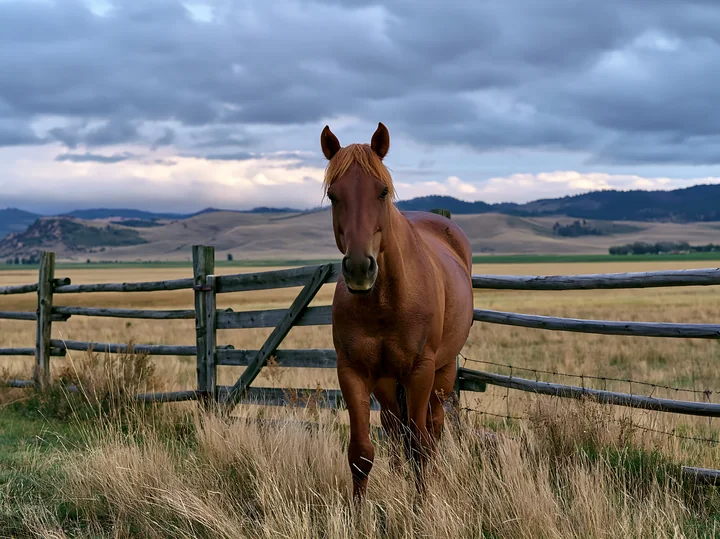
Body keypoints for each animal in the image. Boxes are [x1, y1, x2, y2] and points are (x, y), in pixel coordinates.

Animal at [320, 122, 474, 501]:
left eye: (382, 191)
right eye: (333, 195)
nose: (359, 269)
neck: (384, 304)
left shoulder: (421, 371)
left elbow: (420, 445)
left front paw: (422, 506)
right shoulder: (352, 371)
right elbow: (361, 452)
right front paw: (358, 512)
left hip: (442, 374)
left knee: (431, 430)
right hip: (387, 383)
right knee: (394, 429)